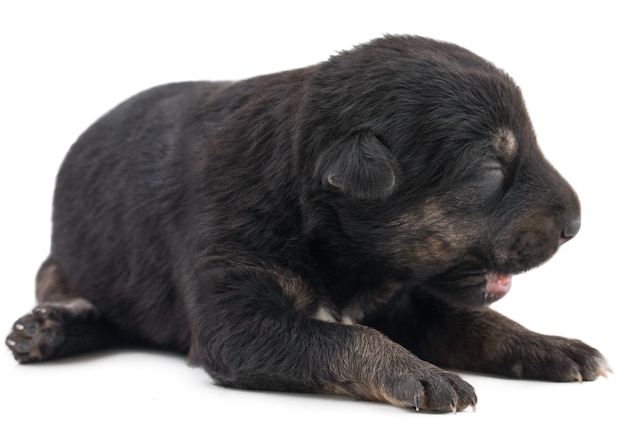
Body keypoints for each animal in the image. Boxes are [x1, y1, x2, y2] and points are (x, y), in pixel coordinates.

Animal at [6, 34, 608, 412]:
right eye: (491, 169)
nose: (577, 224)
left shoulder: (405, 300)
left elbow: (479, 322)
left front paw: (553, 346)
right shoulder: (236, 313)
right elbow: (344, 337)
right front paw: (420, 372)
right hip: (63, 263)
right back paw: (45, 330)